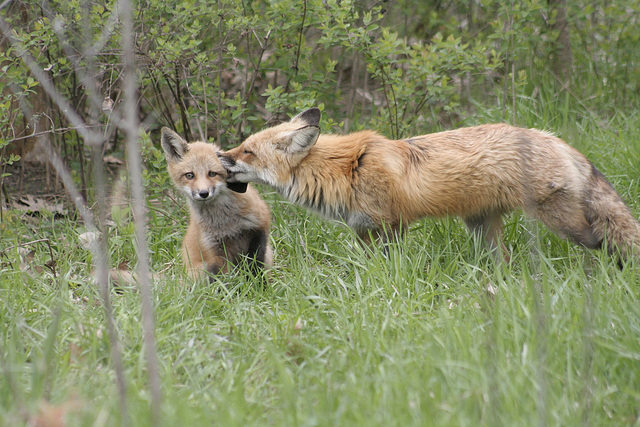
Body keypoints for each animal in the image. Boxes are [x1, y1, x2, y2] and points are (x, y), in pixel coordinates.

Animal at [160, 128, 272, 280]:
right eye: (189, 175)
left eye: (212, 174)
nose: (203, 193)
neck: (226, 221)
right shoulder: (214, 249)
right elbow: (223, 280)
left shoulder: (259, 227)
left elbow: (255, 265)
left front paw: (259, 284)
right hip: (201, 270)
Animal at [220, 108, 640, 262]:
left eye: (247, 151)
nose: (221, 157)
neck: (343, 171)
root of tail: (554, 139)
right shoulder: (364, 231)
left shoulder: (390, 226)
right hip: (482, 226)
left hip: (562, 221)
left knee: (598, 241)